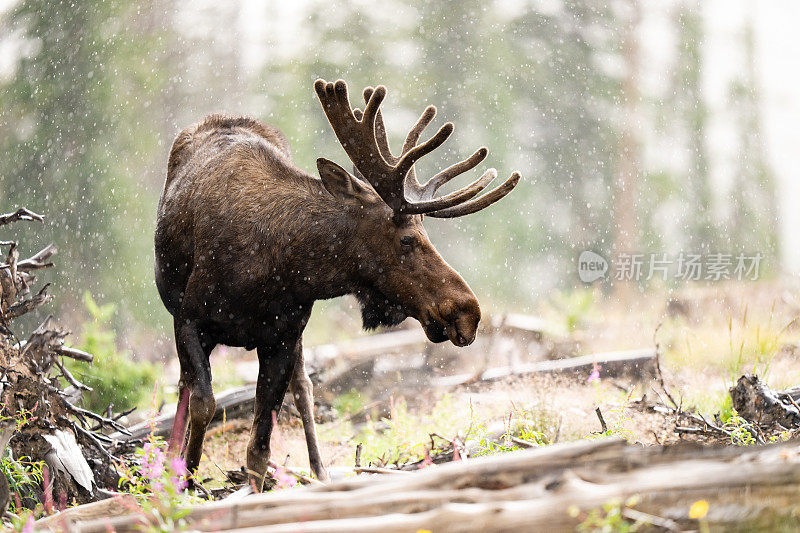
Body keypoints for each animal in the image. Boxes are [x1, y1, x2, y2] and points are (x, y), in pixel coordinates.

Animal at [154, 77, 520, 488]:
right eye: (407, 239)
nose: (468, 312)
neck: (274, 265)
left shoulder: (283, 336)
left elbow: (259, 449)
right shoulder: (189, 320)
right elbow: (204, 402)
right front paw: (184, 479)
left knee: (304, 389)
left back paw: (319, 471)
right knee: (185, 388)